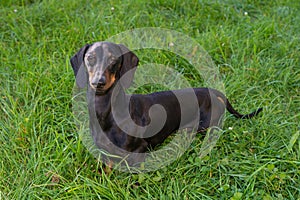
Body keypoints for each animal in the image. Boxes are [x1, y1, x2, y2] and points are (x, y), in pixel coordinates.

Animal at [71, 41, 262, 159]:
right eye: (90, 58)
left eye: (114, 60)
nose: (99, 82)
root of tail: (211, 91)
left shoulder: (140, 149)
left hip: (208, 125)